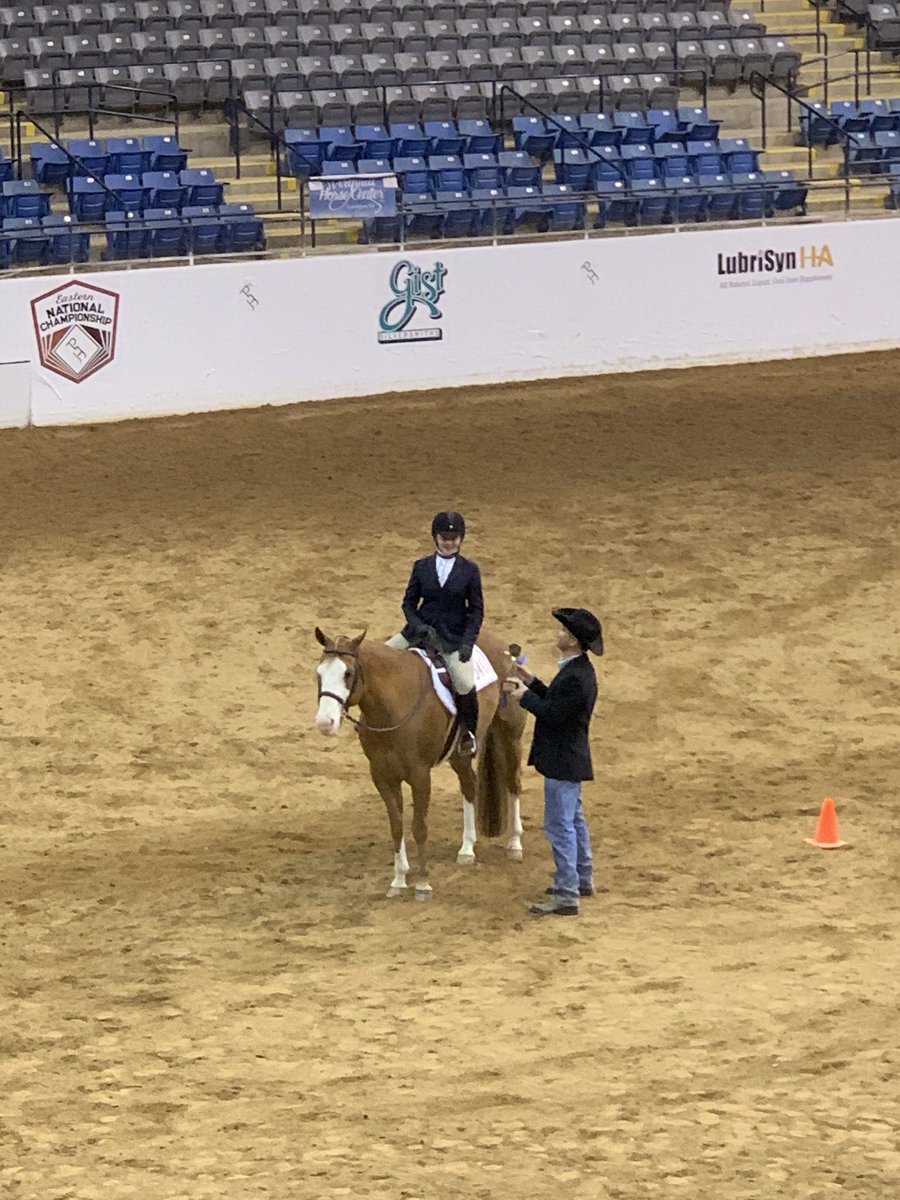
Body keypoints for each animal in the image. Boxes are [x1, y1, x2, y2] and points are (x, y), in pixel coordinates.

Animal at [315, 627, 527, 900]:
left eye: (348, 673)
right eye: (319, 673)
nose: (325, 723)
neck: (395, 705)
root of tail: (505, 648)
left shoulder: (420, 776)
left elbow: (419, 827)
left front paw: (423, 884)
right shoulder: (382, 776)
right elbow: (396, 826)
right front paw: (398, 880)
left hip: (509, 737)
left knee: (513, 783)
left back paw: (514, 844)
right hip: (458, 755)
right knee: (470, 786)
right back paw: (467, 848)